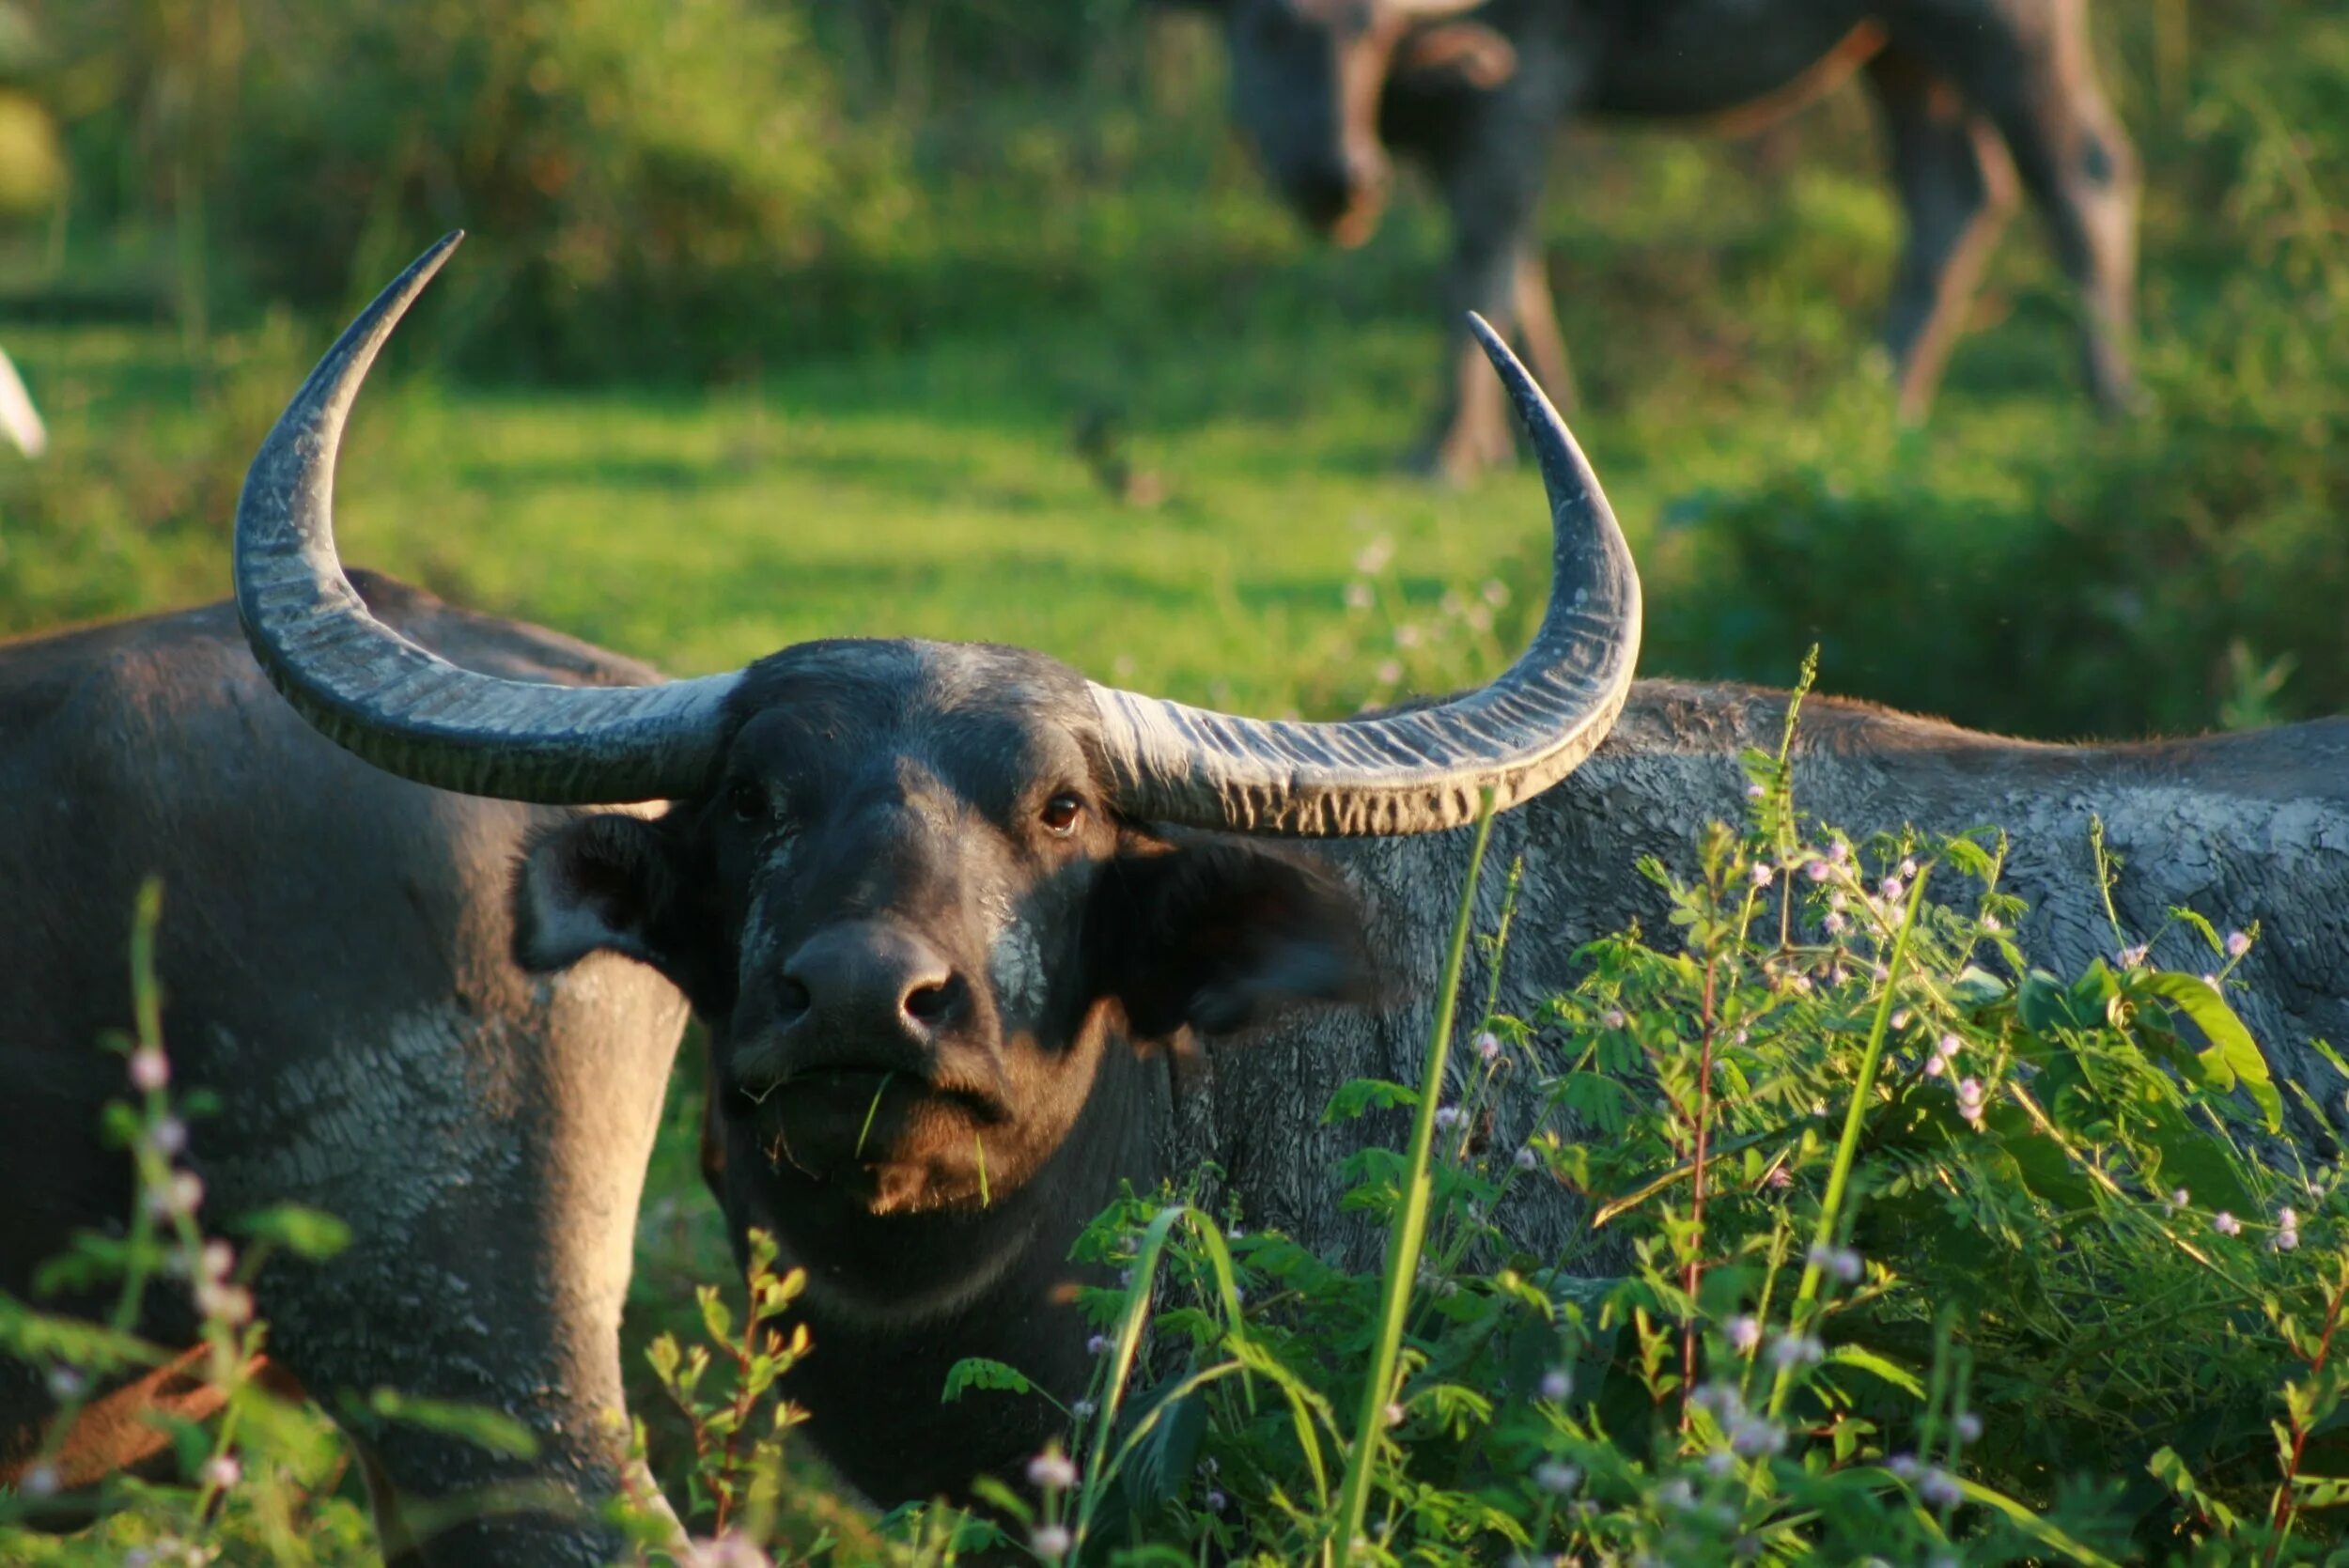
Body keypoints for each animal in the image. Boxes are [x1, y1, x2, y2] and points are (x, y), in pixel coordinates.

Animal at [1165, 1, 2142, 478]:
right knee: (1955, 192)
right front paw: (1538, 418)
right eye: (1269, 29)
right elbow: (1516, 269)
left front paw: (1442, 450)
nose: (1345, 177)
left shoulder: (1524, 87)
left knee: (2082, 171)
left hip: (2007, 30)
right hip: (1898, 49)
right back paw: (1876, 397)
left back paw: (2114, 399)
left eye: (1373, 30)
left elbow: (1478, 261)